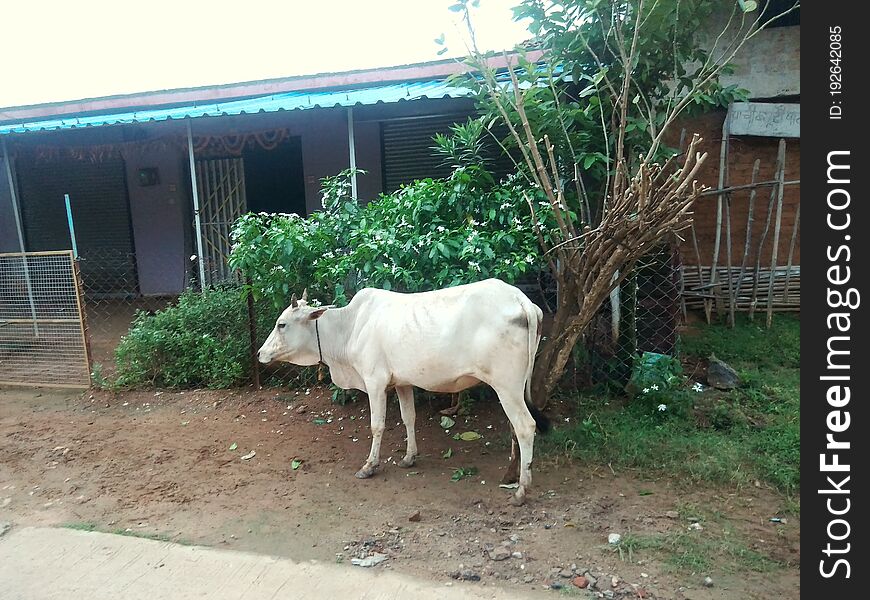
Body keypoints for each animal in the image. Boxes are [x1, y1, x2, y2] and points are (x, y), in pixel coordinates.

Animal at [255, 278, 548, 504]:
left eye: (282, 324)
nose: (259, 353)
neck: (348, 328)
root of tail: (521, 299)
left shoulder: (375, 382)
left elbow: (377, 425)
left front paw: (369, 466)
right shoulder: (402, 384)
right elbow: (409, 418)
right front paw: (409, 457)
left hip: (506, 386)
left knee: (525, 426)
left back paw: (522, 489)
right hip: (511, 388)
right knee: (514, 426)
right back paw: (511, 474)